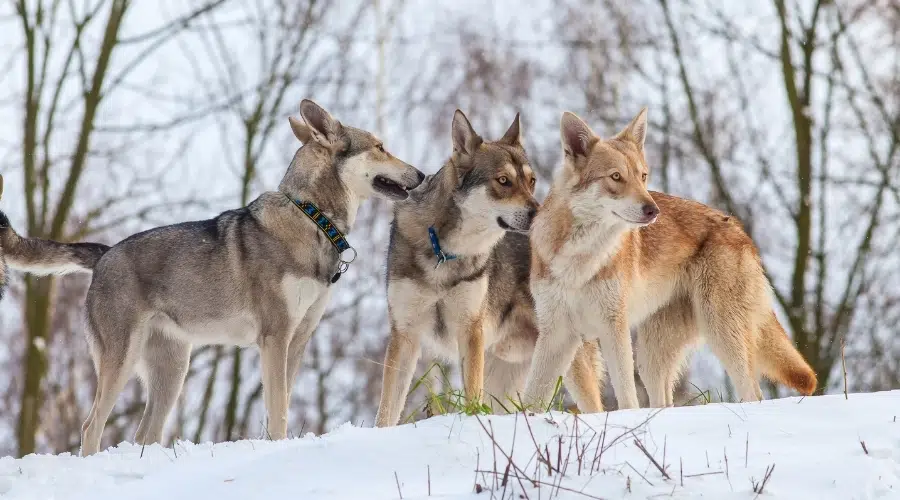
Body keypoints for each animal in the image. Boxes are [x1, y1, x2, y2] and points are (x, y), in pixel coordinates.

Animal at [0, 99, 426, 456]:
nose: (422, 174)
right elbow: (278, 410)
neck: (312, 218)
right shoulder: (275, 338)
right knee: (91, 427)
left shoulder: (299, 338)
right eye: (381, 146)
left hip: (173, 372)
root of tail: (104, 254)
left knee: (144, 434)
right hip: (121, 363)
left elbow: (283, 402)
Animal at [520, 107, 816, 408]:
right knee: (664, 402)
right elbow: (532, 398)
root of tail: (738, 228)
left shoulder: (613, 327)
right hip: (651, 358)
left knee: (752, 393)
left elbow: (627, 397)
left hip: (720, 333)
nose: (653, 210)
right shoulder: (557, 334)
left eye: (642, 176)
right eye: (615, 177)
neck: (580, 257)